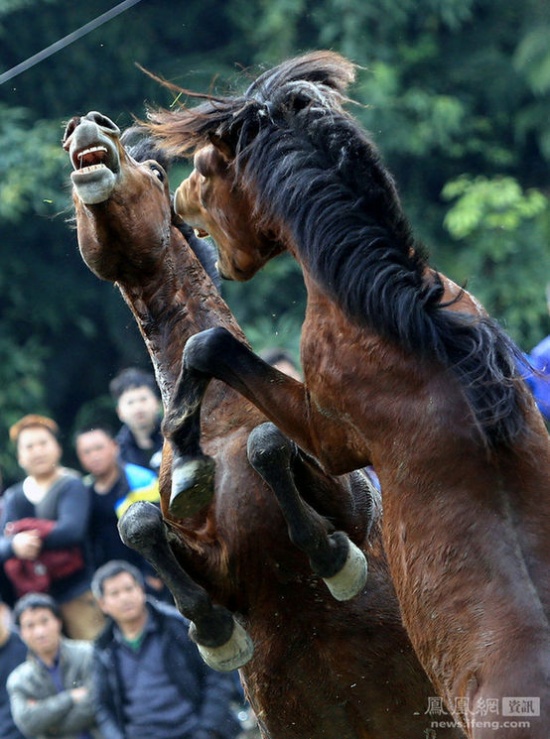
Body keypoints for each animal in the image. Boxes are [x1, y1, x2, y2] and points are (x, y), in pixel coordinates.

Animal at [63, 111, 466, 739]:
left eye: (154, 172)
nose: (87, 125)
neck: (220, 422)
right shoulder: (219, 569)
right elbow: (139, 524)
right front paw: (214, 633)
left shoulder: (350, 501)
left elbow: (269, 444)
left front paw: (336, 562)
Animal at [144, 49, 550, 736]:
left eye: (203, 169)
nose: (175, 200)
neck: (404, 323)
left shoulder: (330, 433)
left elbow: (211, 352)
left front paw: (186, 448)